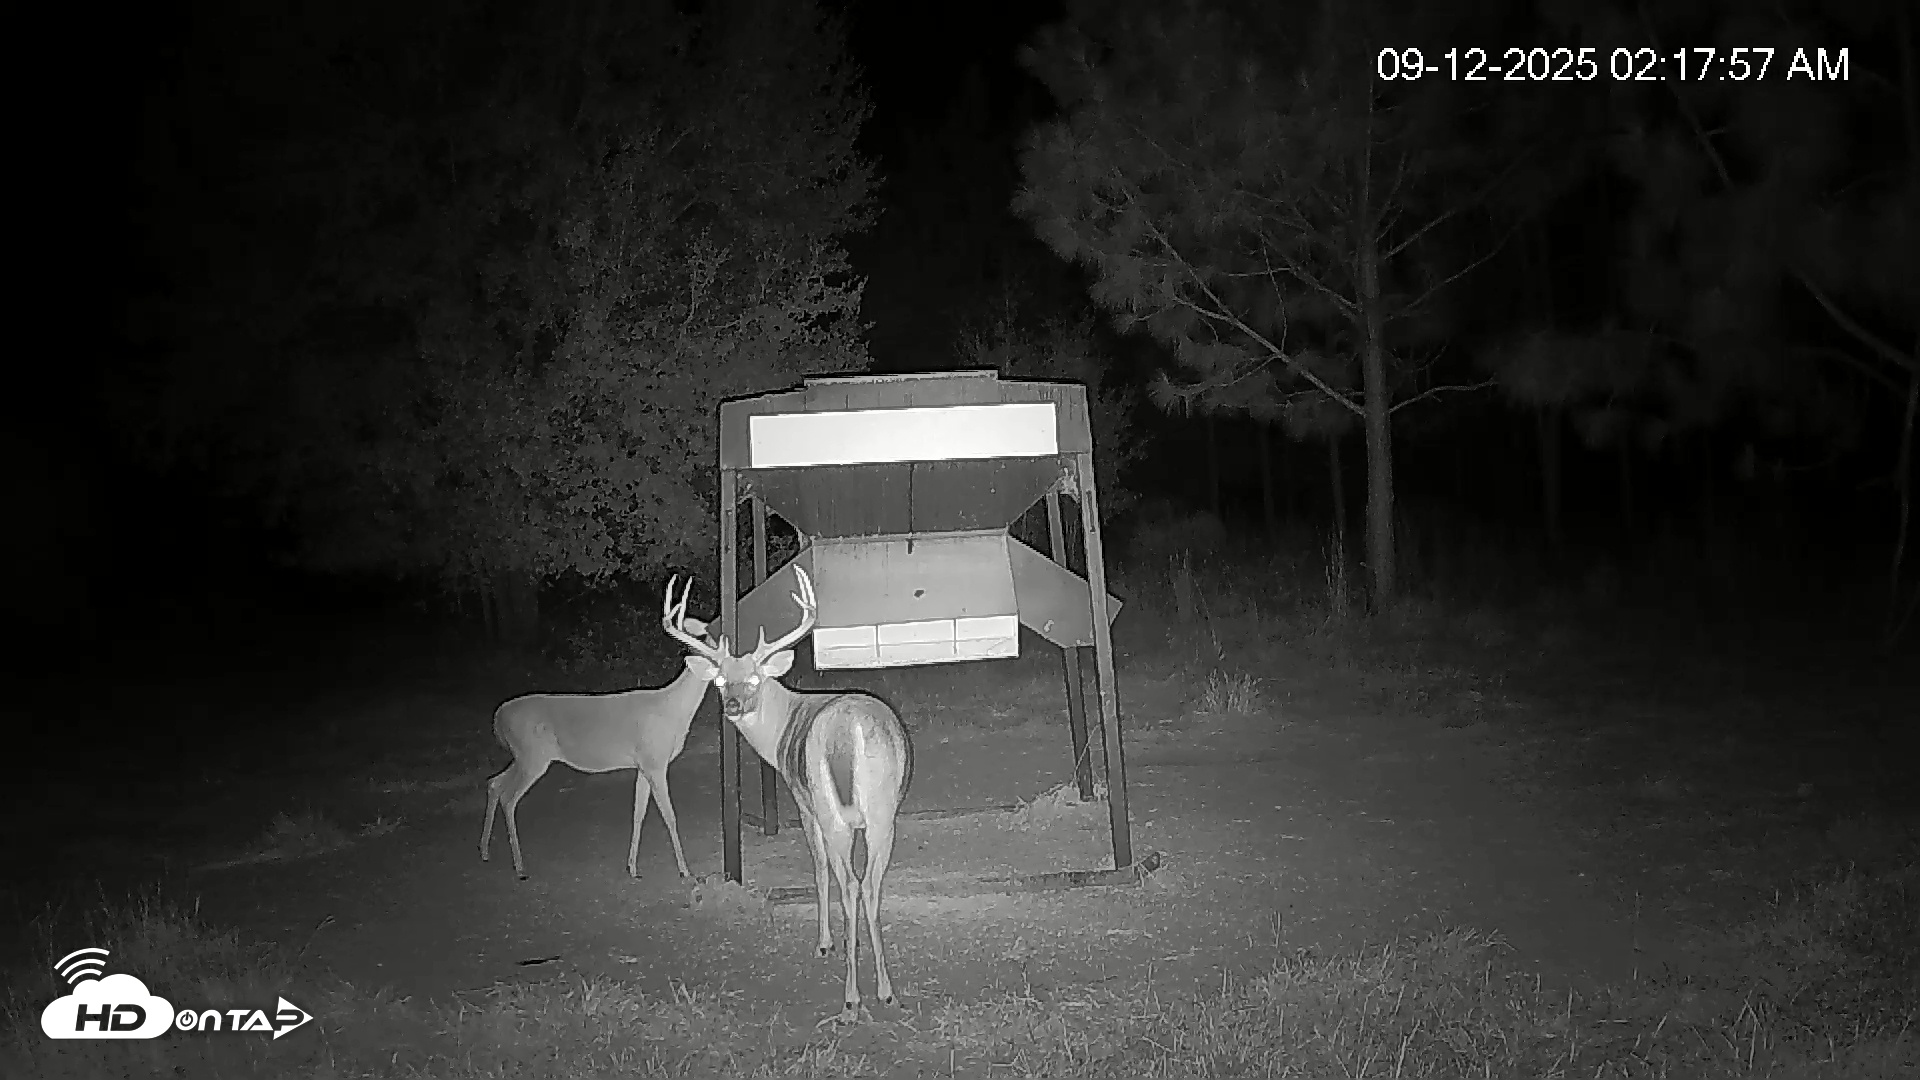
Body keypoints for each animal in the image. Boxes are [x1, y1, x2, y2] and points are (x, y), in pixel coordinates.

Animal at [479, 576, 715, 882]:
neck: (673, 711)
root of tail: (498, 718)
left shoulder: (642, 765)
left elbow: (638, 812)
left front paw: (632, 867)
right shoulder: (654, 761)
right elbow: (669, 814)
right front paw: (686, 871)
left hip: (522, 756)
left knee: (493, 782)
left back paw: (485, 851)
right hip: (532, 756)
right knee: (508, 797)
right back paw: (520, 868)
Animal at [665, 566, 914, 1023]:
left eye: (754, 678)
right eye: (721, 679)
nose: (731, 705)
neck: (783, 724)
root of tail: (848, 731)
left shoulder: (803, 798)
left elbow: (819, 868)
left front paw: (826, 942)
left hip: (831, 808)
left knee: (848, 881)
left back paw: (851, 1000)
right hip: (883, 811)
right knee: (869, 884)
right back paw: (886, 991)